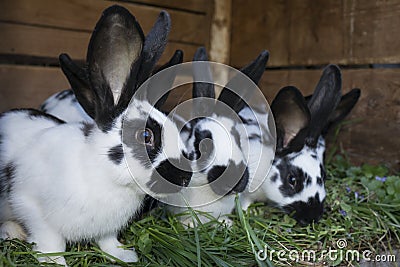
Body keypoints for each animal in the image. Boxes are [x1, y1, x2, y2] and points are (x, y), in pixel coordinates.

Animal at [0, 5, 192, 266]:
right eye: (145, 136)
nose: (185, 177)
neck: (107, 176)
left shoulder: (107, 228)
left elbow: (107, 240)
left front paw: (123, 255)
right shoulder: (31, 206)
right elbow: (51, 241)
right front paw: (54, 262)